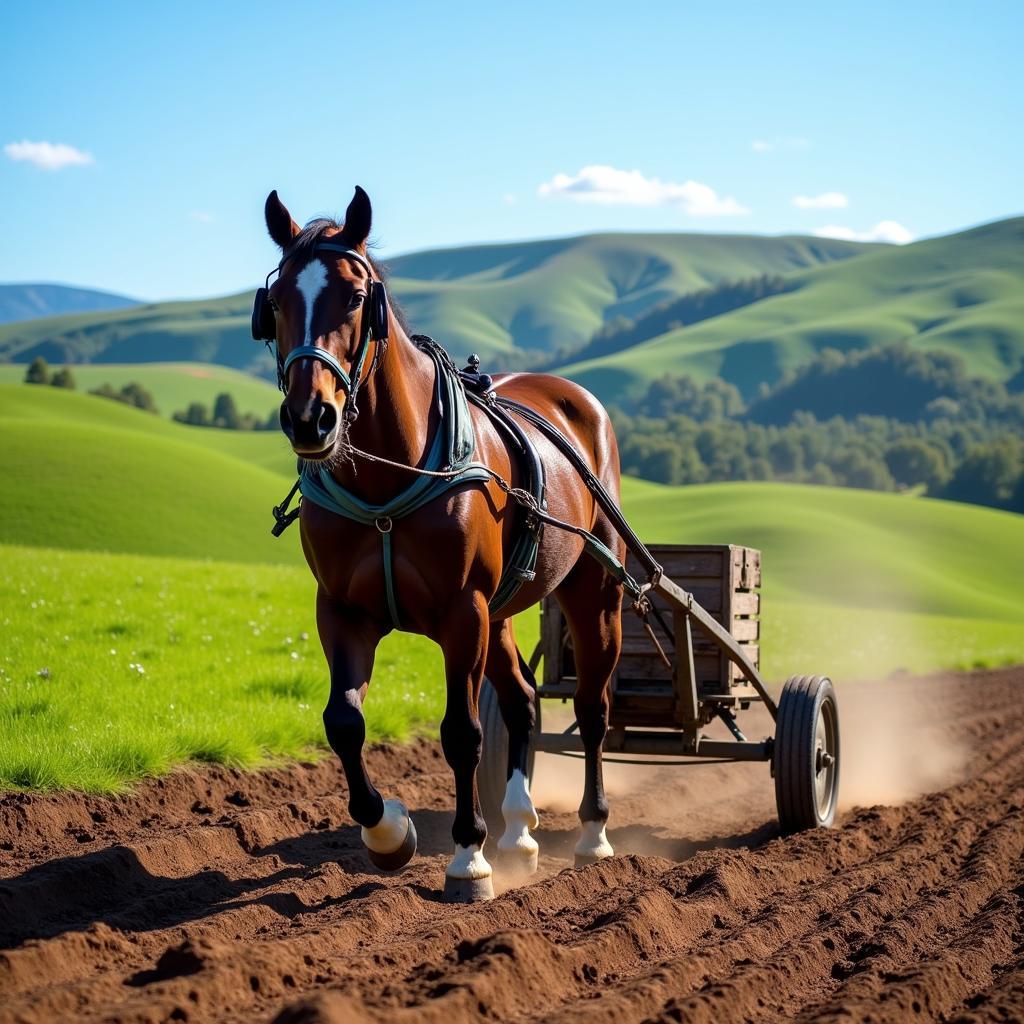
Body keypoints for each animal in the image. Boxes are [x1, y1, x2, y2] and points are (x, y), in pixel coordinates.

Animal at [256, 188, 622, 901]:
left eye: (355, 296)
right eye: (277, 300)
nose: (310, 418)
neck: (387, 476)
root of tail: (576, 399)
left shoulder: (462, 612)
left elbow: (462, 732)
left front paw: (467, 857)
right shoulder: (342, 610)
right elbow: (344, 723)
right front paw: (388, 833)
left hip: (592, 593)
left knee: (592, 708)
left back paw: (590, 833)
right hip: (501, 612)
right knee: (523, 700)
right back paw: (519, 830)